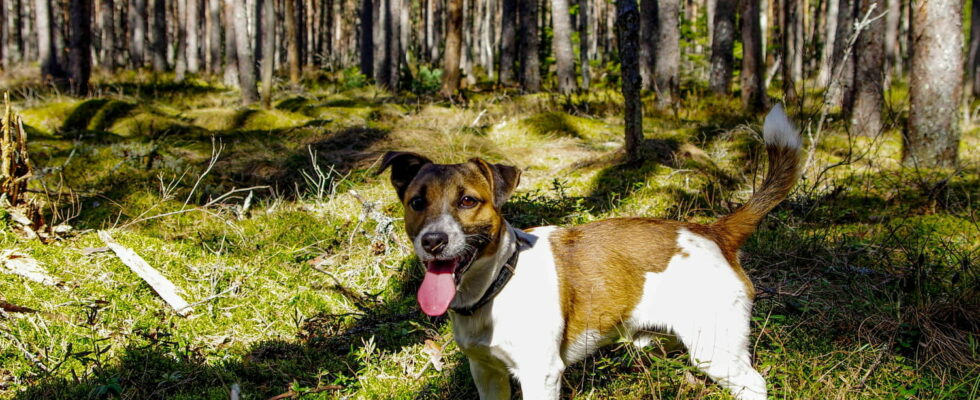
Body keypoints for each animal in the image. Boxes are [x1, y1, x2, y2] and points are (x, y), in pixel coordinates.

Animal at [378, 104, 800, 398]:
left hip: (716, 350)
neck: (498, 282)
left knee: (754, 385)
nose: (433, 242)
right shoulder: (487, 374)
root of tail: (713, 229)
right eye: (417, 203)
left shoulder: (541, 375)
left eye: (467, 201)